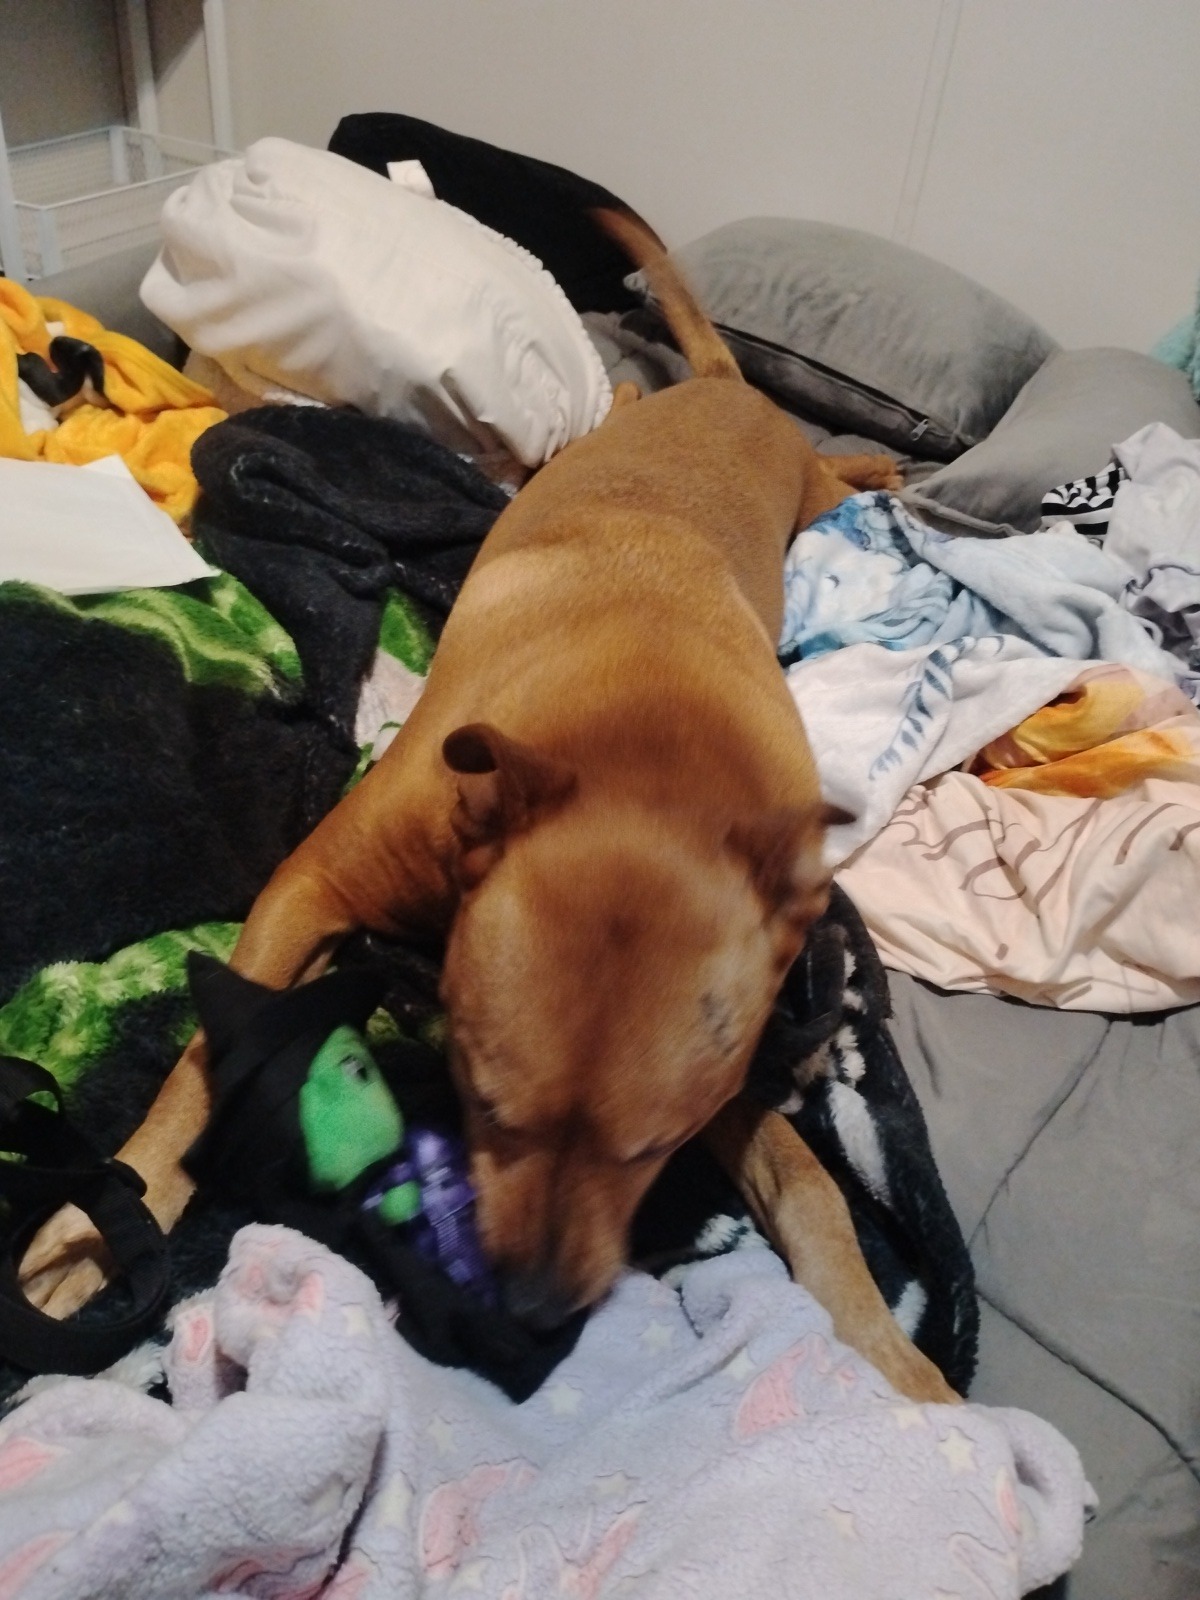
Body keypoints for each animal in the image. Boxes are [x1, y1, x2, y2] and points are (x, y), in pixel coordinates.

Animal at [20, 209, 957, 1403]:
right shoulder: (310, 884)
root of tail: (723, 395)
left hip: (810, 498)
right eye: (483, 1098)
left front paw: (892, 1356)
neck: (648, 762)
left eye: (656, 1147)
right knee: (651, 412)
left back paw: (882, 461)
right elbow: (195, 1066)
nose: (532, 1314)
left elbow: (814, 1186)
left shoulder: (729, 1059)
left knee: (828, 470)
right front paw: (96, 1235)